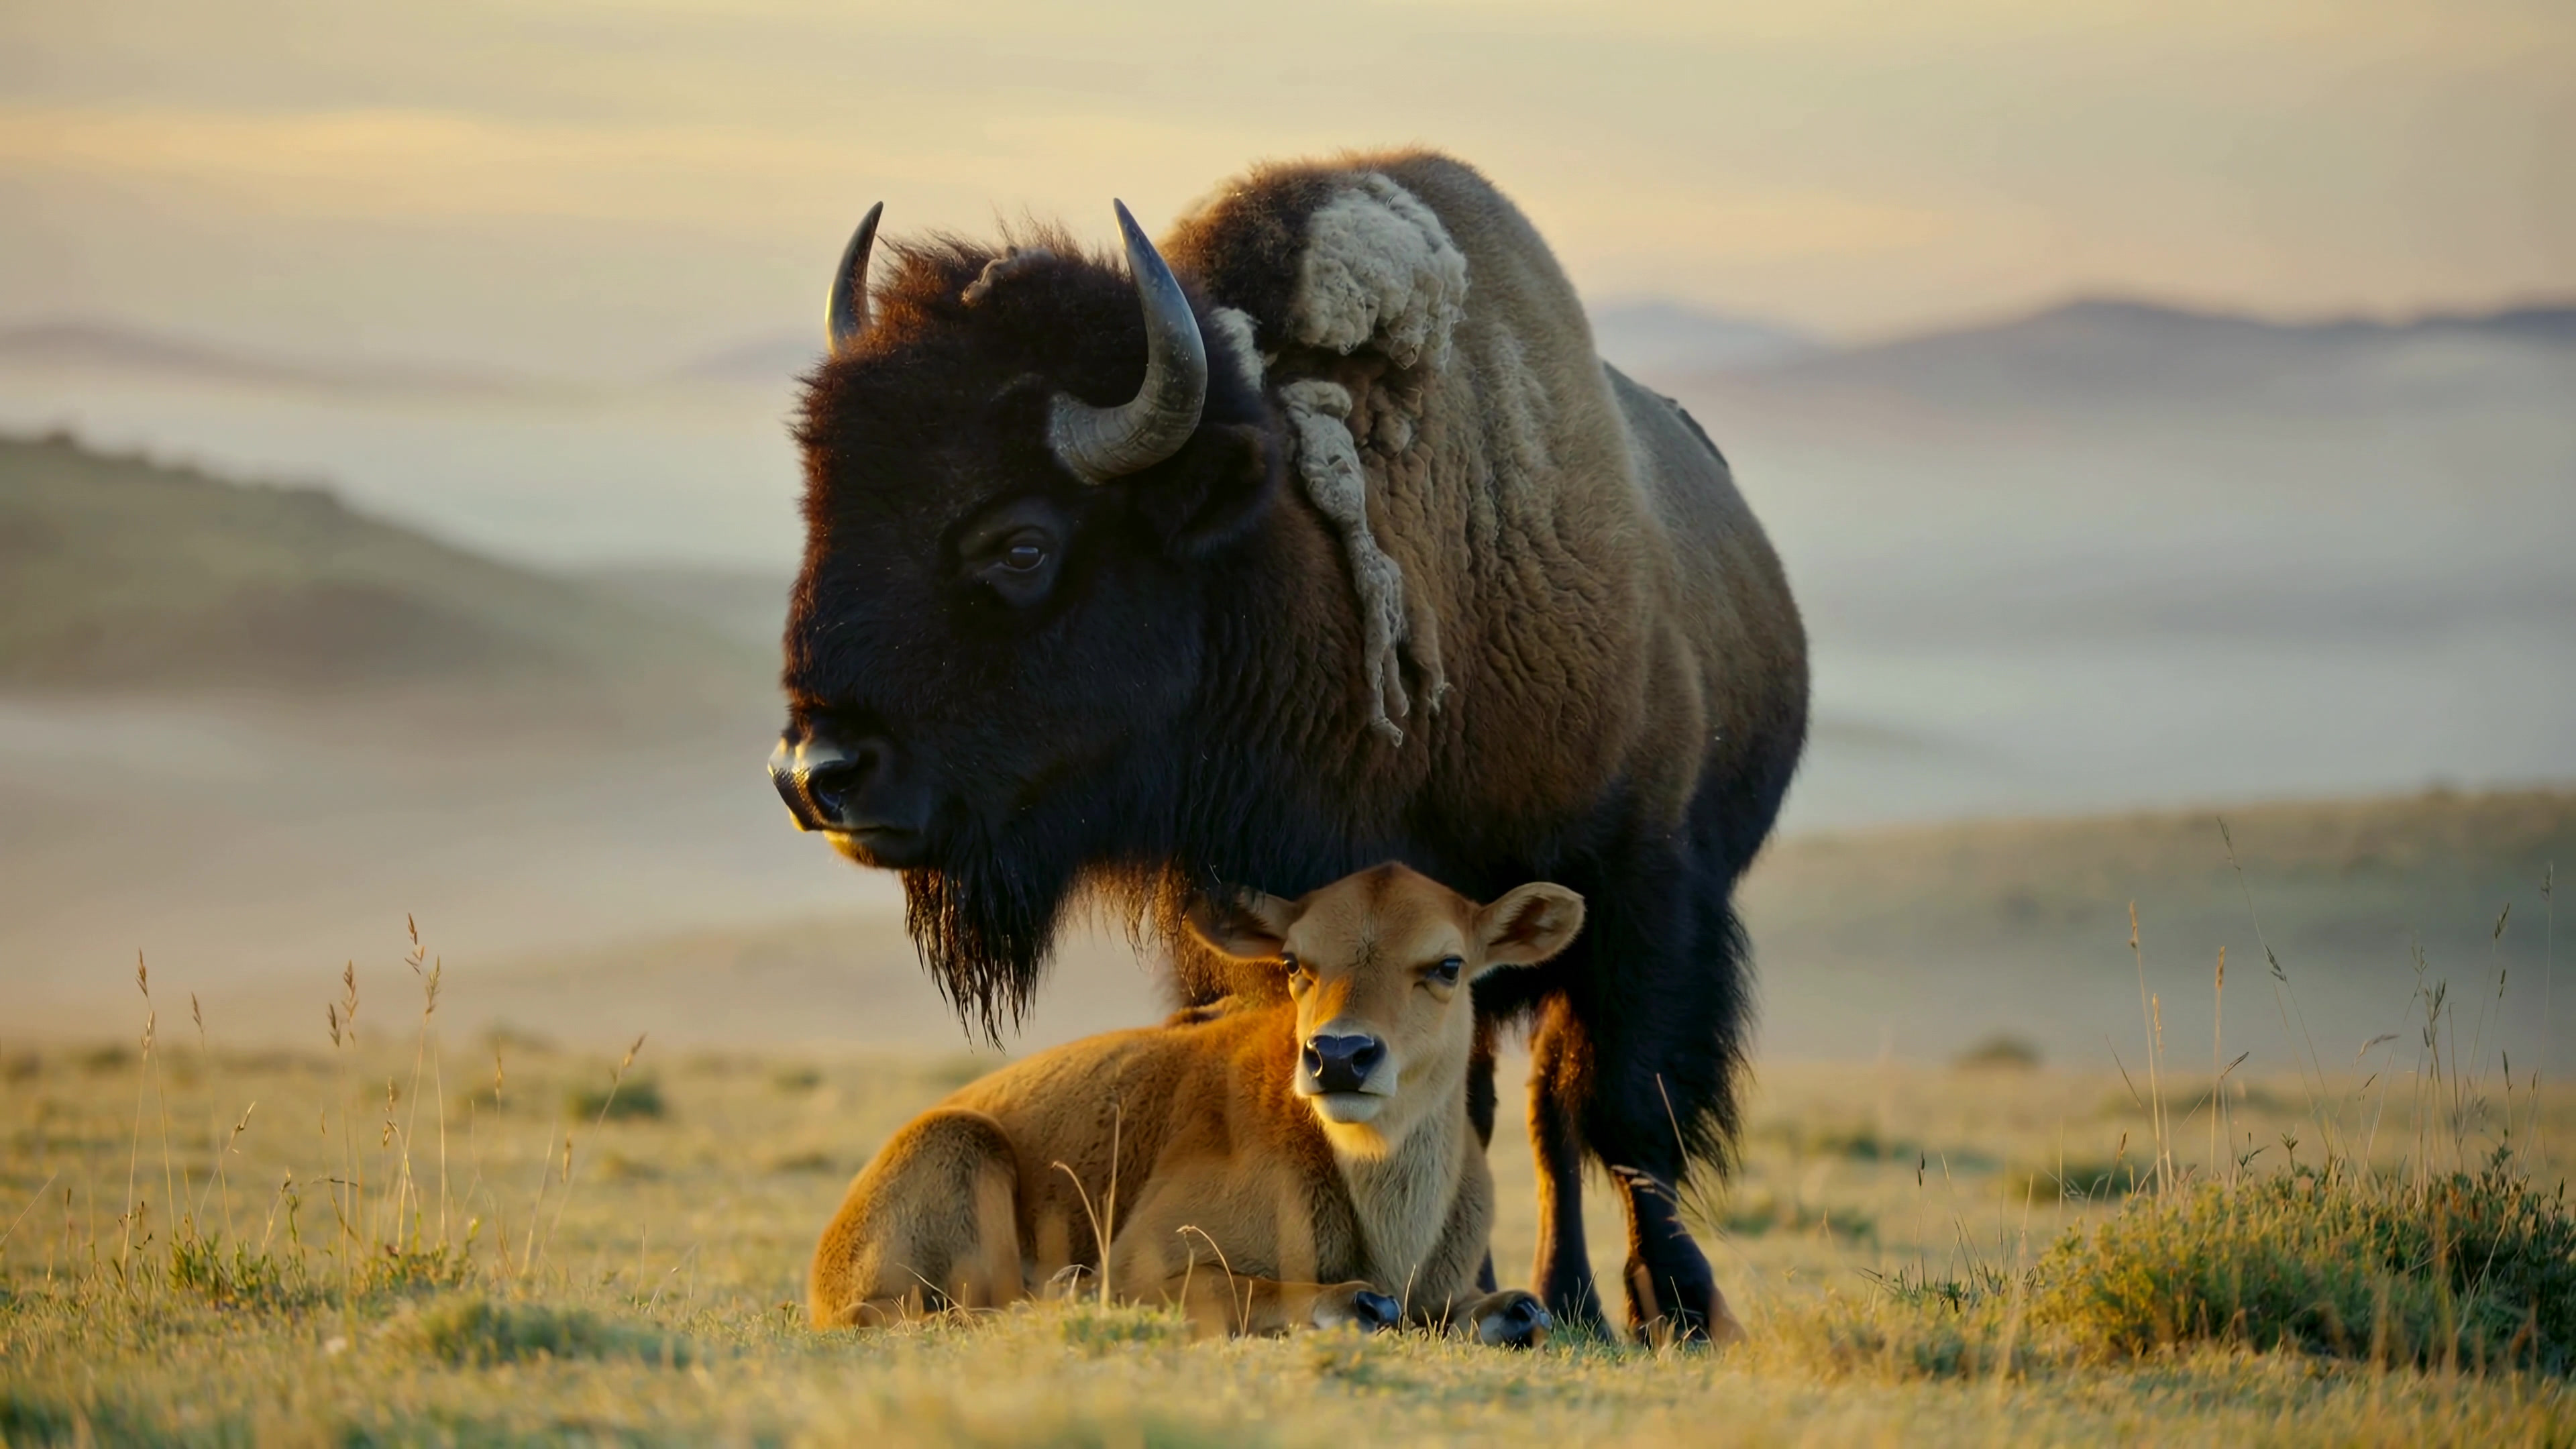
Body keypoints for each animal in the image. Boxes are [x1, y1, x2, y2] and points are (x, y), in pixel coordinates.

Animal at [808, 863, 1572, 1348]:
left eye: (1448, 965)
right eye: (1294, 962)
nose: (1340, 1056)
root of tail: (827, 1265)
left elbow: (1509, 1309)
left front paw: (1506, 1314)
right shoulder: (1145, 1267)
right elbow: (1287, 1294)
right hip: (960, 1151)